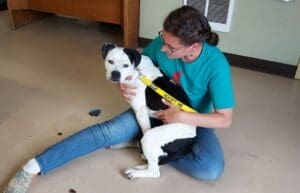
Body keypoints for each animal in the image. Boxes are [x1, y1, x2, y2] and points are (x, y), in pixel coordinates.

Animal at [102, 43, 198, 179]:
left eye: (126, 65)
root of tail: (193, 138)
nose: (115, 73)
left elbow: (143, 130)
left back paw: (135, 171)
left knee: (154, 170)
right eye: (110, 61)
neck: (136, 70)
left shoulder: (140, 112)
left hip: (151, 136)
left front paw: (142, 155)